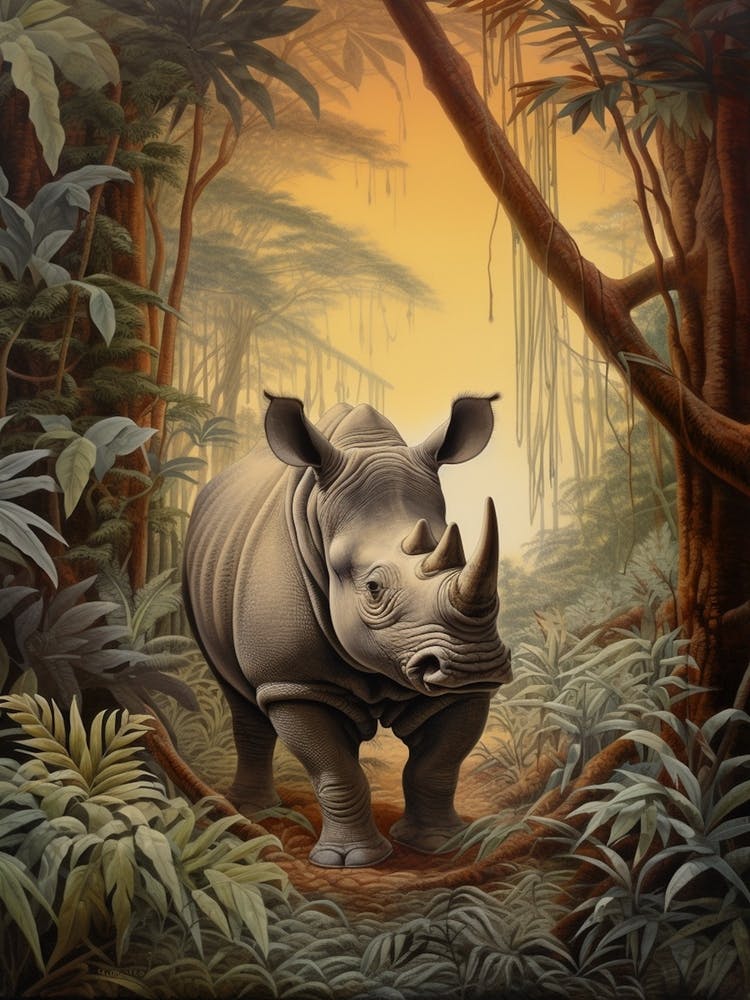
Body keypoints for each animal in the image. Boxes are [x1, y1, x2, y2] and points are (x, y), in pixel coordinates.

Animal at [183, 392, 511, 868]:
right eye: (373, 589)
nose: (476, 663)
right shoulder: (293, 680)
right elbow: (334, 769)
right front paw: (353, 861)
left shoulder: (454, 685)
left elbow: (437, 765)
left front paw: (441, 844)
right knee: (241, 699)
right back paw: (253, 812)